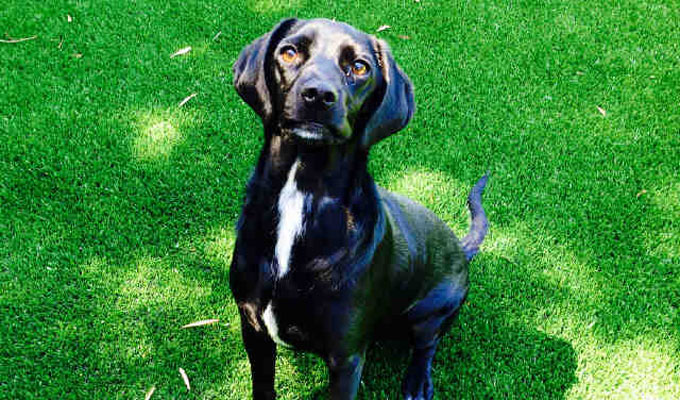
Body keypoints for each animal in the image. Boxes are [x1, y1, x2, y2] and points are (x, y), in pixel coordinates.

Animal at [230, 17, 488, 398]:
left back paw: (417, 381)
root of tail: (459, 246)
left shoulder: (346, 357)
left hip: (432, 312)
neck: (301, 192)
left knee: (426, 346)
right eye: (289, 52)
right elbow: (263, 386)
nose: (318, 95)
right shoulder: (254, 329)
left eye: (360, 67)